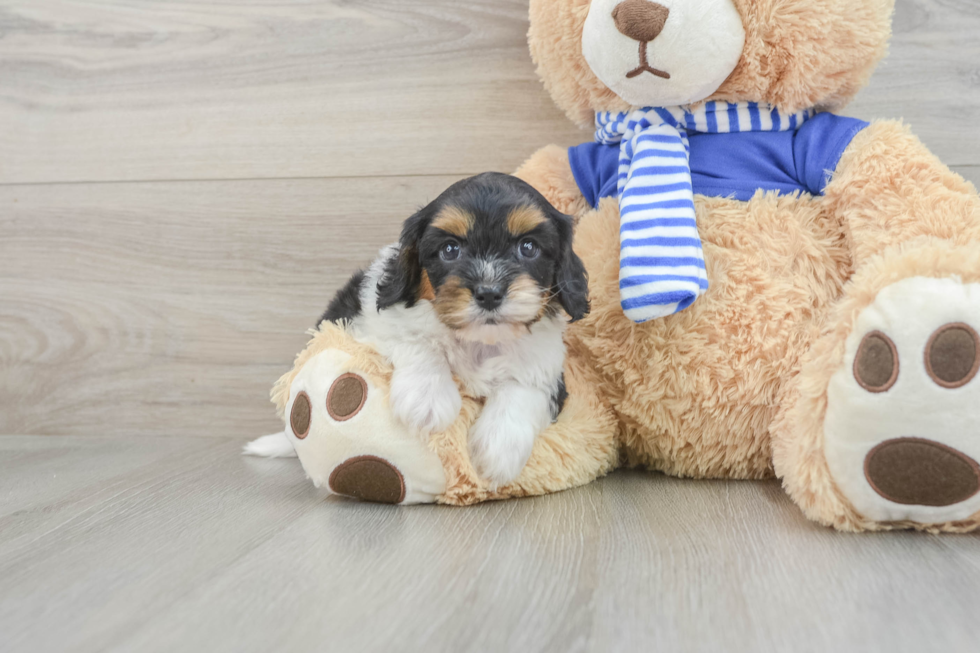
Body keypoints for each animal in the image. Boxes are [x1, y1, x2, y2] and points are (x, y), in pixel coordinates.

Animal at [326, 172, 588, 484]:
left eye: (528, 247)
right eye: (450, 249)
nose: (489, 293)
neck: (481, 341)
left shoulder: (548, 369)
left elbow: (524, 388)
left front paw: (498, 447)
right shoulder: (369, 326)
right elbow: (414, 337)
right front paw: (426, 398)